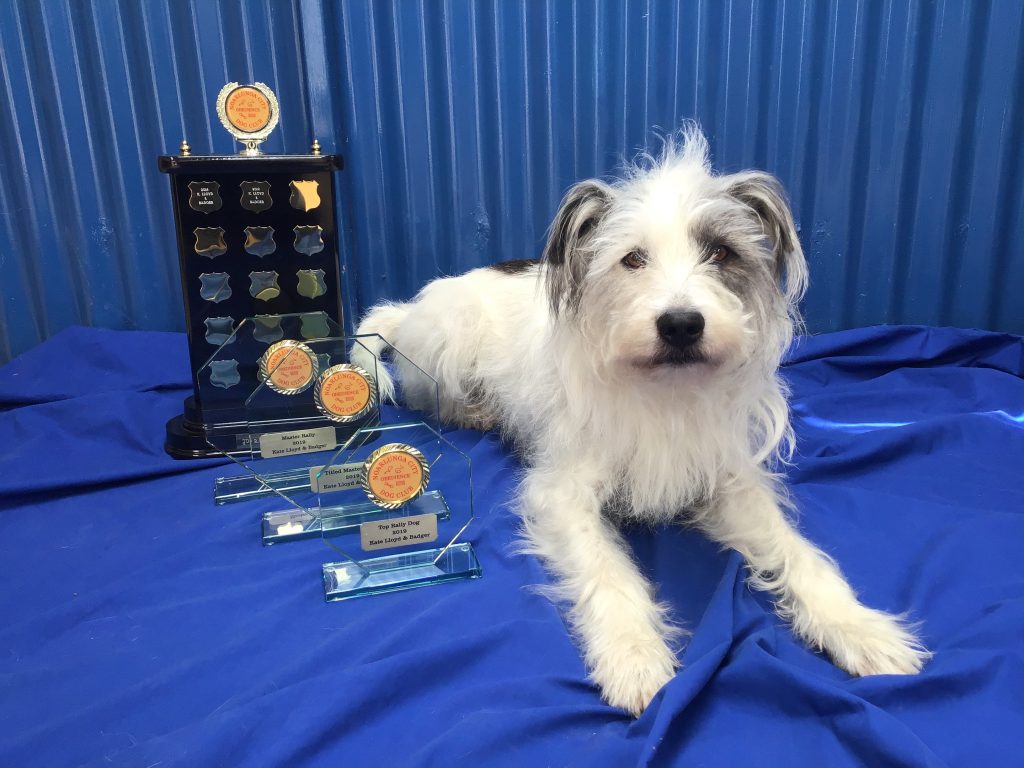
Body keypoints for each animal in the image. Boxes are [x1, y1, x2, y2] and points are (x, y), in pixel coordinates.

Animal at [354, 128, 929, 720]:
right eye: (632, 259)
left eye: (721, 252)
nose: (681, 324)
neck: (664, 389)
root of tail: (414, 309)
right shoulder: (563, 494)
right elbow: (607, 571)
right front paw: (634, 656)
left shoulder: (729, 483)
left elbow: (796, 551)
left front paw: (857, 626)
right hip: (449, 347)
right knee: (432, 398)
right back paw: (479, 410)